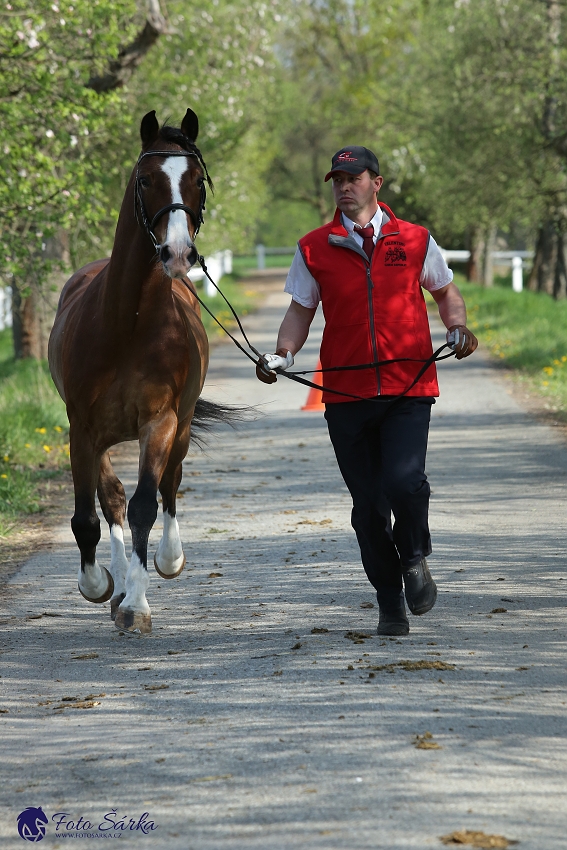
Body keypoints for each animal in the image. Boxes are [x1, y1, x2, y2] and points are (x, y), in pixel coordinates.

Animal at [47, 107, 227, 628]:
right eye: (145, 179)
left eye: (197, 180)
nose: (178, 254)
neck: (127, 323)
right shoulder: (82, 429)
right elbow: (88, 516)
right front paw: (99, 585)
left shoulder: (160, 421)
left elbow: (147, 504)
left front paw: (137, 604)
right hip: (102, 437)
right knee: (110, 499)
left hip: (180, 428)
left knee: (168, 487)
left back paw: (165, 562)